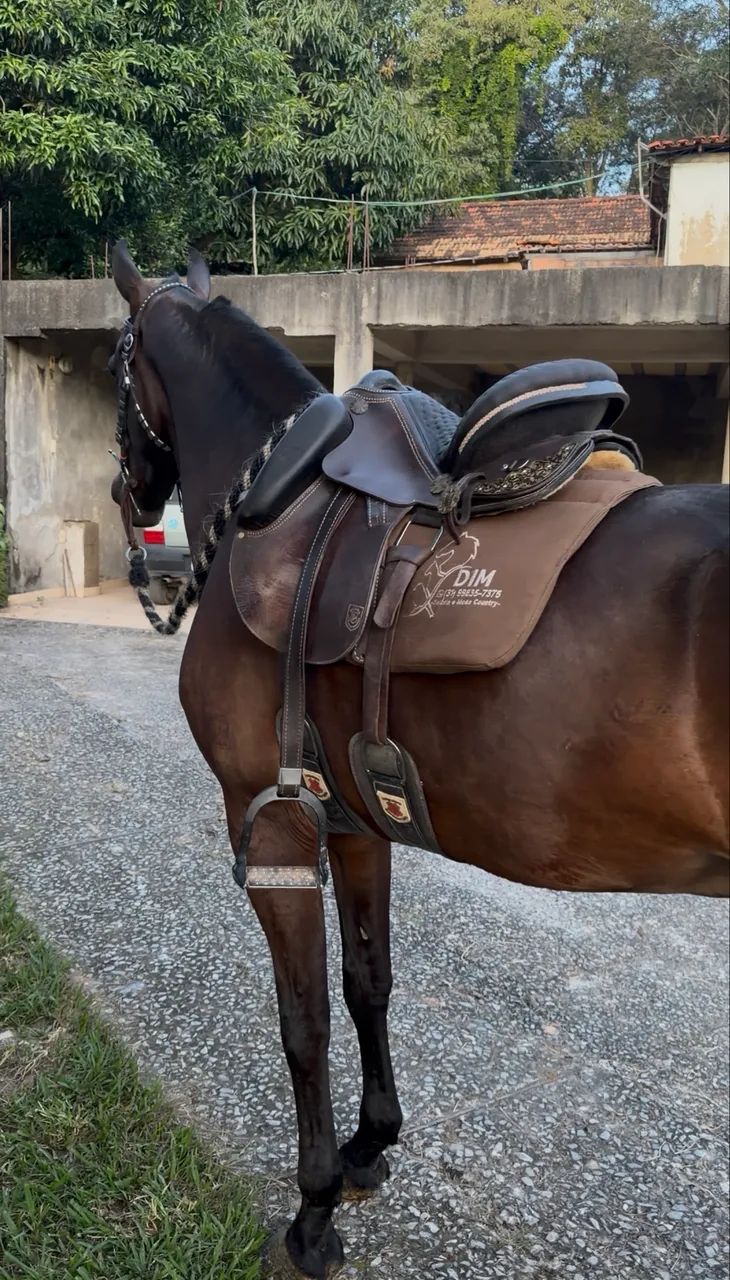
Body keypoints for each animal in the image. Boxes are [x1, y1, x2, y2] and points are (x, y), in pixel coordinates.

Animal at [108, 243, 729, 1279]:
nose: (127, 494)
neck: (273, 494)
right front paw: (369, 1145)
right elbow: (370, 984)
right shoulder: (357, 819)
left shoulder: (270, 825)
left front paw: (315, 1211)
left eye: (114, 368)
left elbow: (304, 1017)